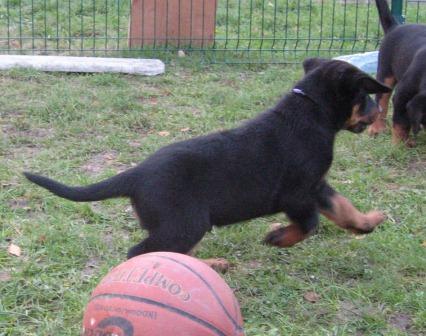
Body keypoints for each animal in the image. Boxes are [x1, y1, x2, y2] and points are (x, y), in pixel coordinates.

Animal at [23, 58, 390, 268]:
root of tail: (136, 174)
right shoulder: (298, 193)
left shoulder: (318, 186)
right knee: (140, 252)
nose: (376, 115)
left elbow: (344, 208)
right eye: (364, 94)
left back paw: (211, 265)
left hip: (181, 225)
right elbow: (309, 224)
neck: (310, 110)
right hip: (185, 223)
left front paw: (369, 222)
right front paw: (277, 237)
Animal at [366, 0, 426, 145]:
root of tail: (395, 26)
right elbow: (401, 122)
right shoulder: (402, 95)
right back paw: (377, 128)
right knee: (381, 101)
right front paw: (400, 144)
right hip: (385, 73)